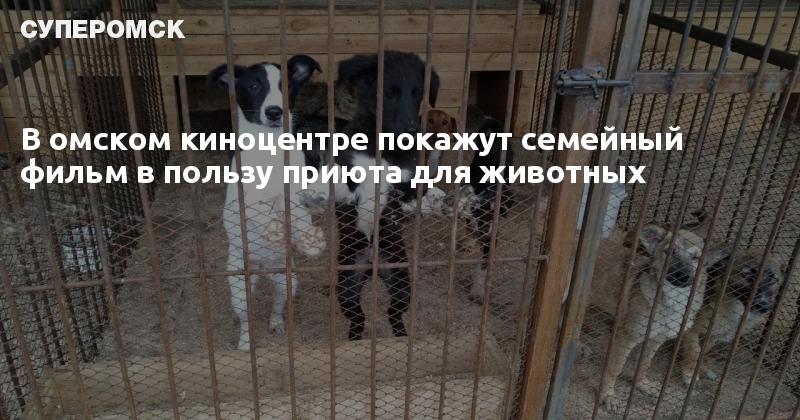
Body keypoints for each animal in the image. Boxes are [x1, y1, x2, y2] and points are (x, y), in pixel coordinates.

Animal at [208, 55, 330, 350]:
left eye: (285, 84)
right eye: (254, 85)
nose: (275, 112)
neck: (270, 148)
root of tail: (264, 270)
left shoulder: (296, 192)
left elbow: (301, 212)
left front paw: (310, 235)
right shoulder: (242, 201)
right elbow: (262, 212)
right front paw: (274, 225)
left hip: (288, 282)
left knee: (277, 306)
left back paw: (276, 324)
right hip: (240, 288)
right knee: (245, 319)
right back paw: (245, 344)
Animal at [597, 223, 707, 411]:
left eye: (695, 257)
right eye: (670, 251)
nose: (683, 275)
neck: (671, 302)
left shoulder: (656, 339)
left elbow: (645, 364)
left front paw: (642, 384)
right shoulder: (627, 338)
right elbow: (614, 369)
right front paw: (607, 396)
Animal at [679, 248, 782, 385]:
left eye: (773, 279)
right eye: (747, 275)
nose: (764, 305)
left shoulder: (714, 336)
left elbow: (703, 352)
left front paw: (699, 369)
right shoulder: (691, 328)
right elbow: (695, 352)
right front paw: (689, 374)